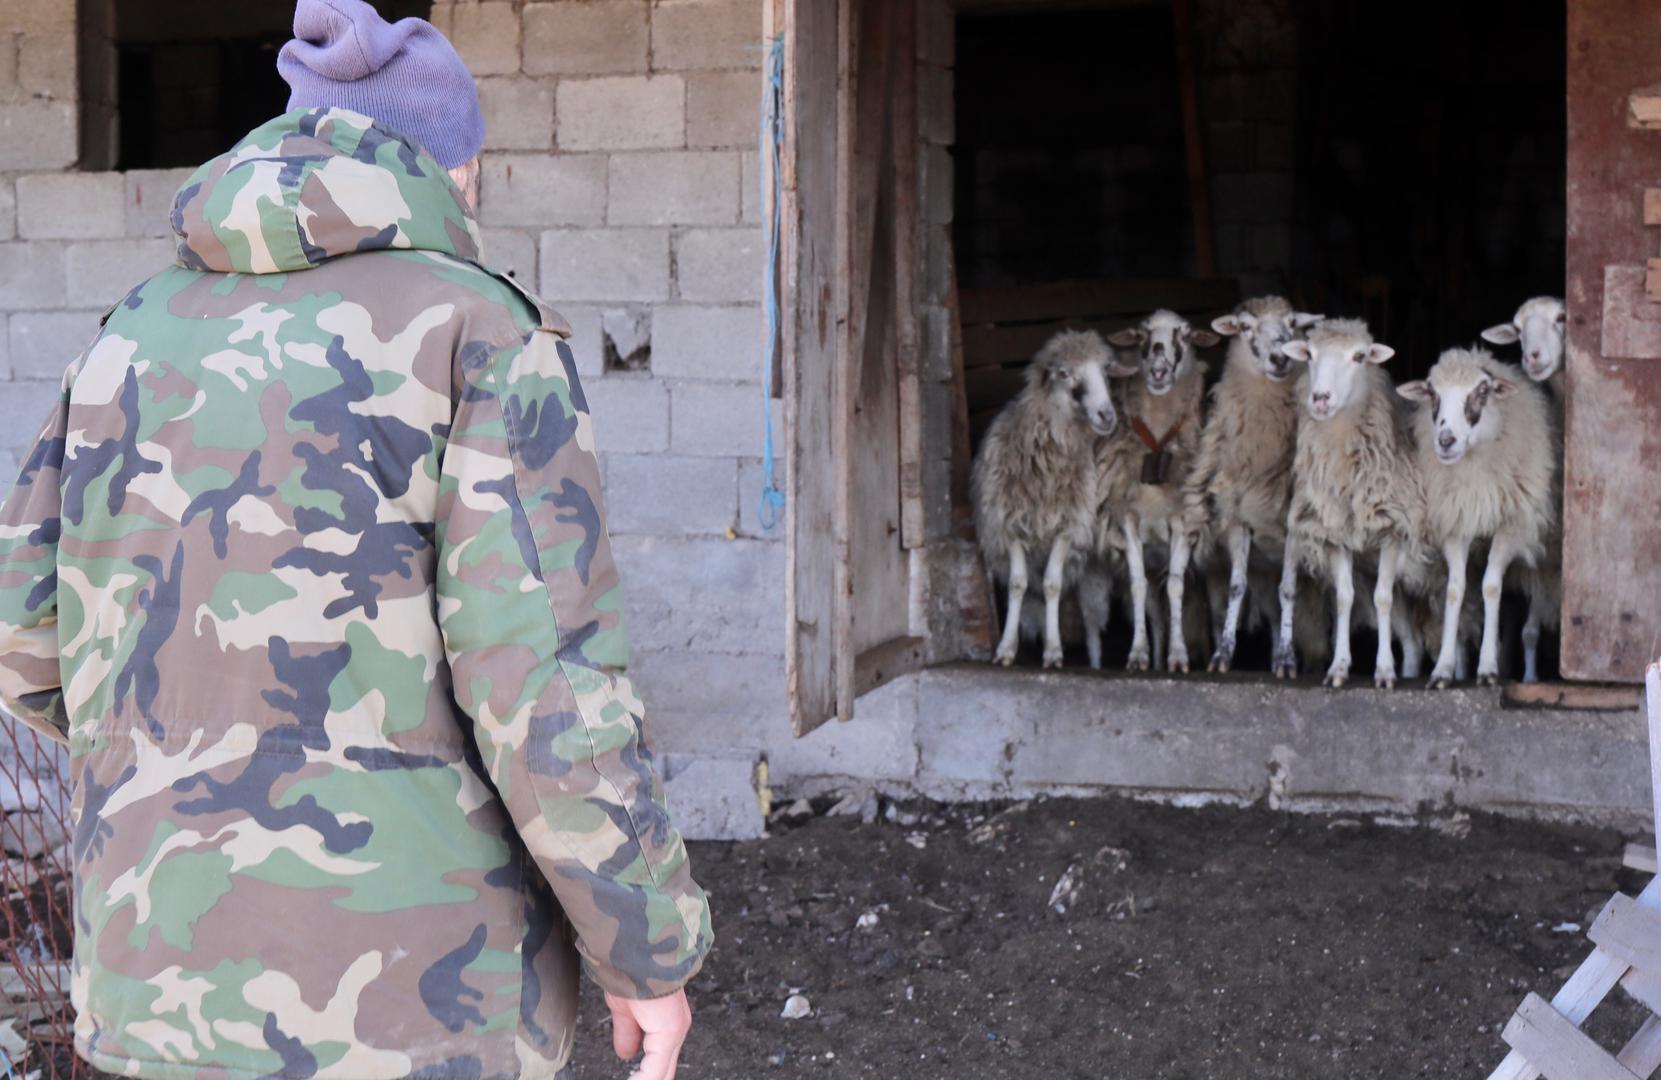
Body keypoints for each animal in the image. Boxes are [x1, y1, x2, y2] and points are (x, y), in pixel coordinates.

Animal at [970, 327, 1136, 664]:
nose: (1106, 415)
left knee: (1090, 627)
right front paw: (1005, 649)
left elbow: (1052, 585)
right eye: (1064, 373)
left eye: (1105, 370)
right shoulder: (1010, 525)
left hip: (1089, 575)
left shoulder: (1067, 528)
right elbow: (1018, 585)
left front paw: (1053, 651)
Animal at [1102, 307, 1222, 667]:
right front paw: (1138, 654)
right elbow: (1138, 586)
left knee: (1214, 611)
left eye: (1185, 334)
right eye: (1142, 335)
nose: (1158, 368)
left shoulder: (1183, 523)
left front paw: (1179, 656)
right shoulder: (1127, 520)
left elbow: (1176, 587)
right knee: (1156, 614)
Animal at [1182, 294, 1322, 664]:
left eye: (1292, 322)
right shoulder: (1239, 517)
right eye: (1245, 327)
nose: (1280, 357)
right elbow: (1237, 587)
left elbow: (1288, 590)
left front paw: (1287, 658)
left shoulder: (1294, 522)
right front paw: (1223, 653)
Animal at [1269, 319, 1428, 684]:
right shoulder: (1334, 535)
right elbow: (1344, 598)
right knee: (1412, 640)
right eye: (1309, 354)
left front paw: (1383, 671)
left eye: (1359, 356)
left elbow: (1381, 599)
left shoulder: (1392, 531)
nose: (1320, 398)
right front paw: (1339, 667)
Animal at [1401, 345, 1554, 681]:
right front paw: (1444, 669)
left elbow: (1491, 587)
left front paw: (1487, 667)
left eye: (1482, 391)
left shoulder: (1510, 527)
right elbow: (1454, 592)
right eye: (1432, 393)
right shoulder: (1456, 524)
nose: (1446, 441)